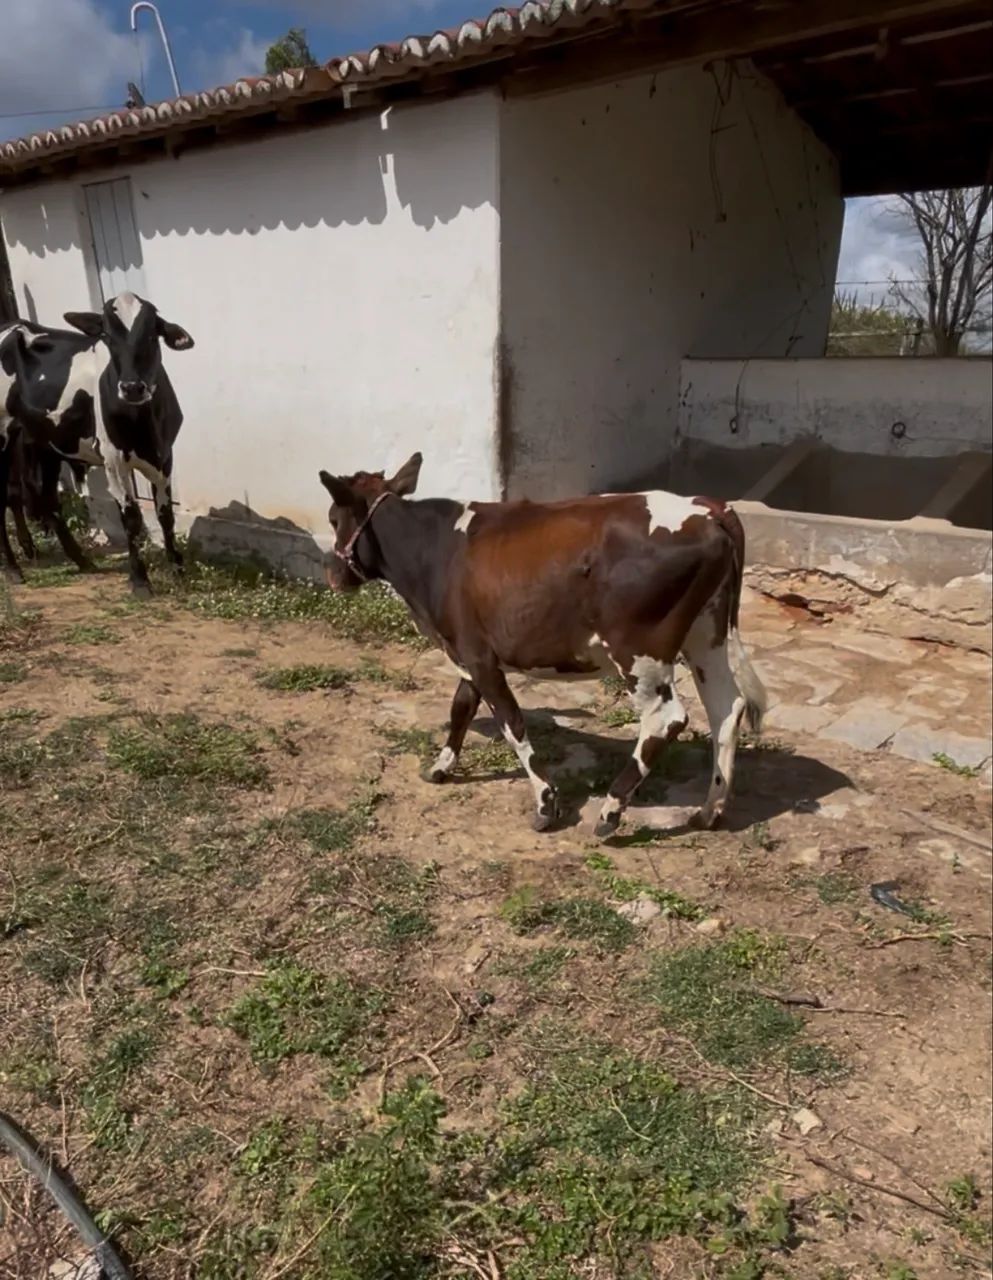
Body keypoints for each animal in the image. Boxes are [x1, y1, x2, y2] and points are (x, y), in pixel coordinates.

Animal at [0, 293, 194, 595]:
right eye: (107, 336)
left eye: (152, 334)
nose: (132, 387)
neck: (144, 423)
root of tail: (13, 325)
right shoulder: (113, 460)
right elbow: (131, 517)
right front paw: (139, 580)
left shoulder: (164, 456)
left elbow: (165, 514)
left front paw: (177, 570)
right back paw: (12, 569)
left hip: (45, 442)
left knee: (42, 496)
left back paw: (81, 560)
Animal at [317, 453, 767, 838]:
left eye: (334, 517)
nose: (332, 573)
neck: (432, 551)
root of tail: (709, 508)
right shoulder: (466, 647)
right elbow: (461, 707)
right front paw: (441, 767)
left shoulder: (478, 655)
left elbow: (511, 722)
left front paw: (546, 804)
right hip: (706, 635)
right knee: (726, 707)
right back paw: (710, 809)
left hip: (640, 649)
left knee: (665, 718)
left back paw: (610, 812)